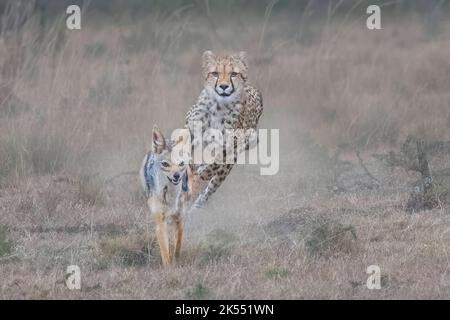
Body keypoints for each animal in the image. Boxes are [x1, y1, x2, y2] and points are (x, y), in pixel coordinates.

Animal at [185, 50, 264, 208]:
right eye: (215, 73)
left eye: (233, 74)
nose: (223, 86)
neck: (218, 105)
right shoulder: (190, 128)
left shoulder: (229, 145)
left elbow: (211, 167)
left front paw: (197, 179)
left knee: (210, 187)